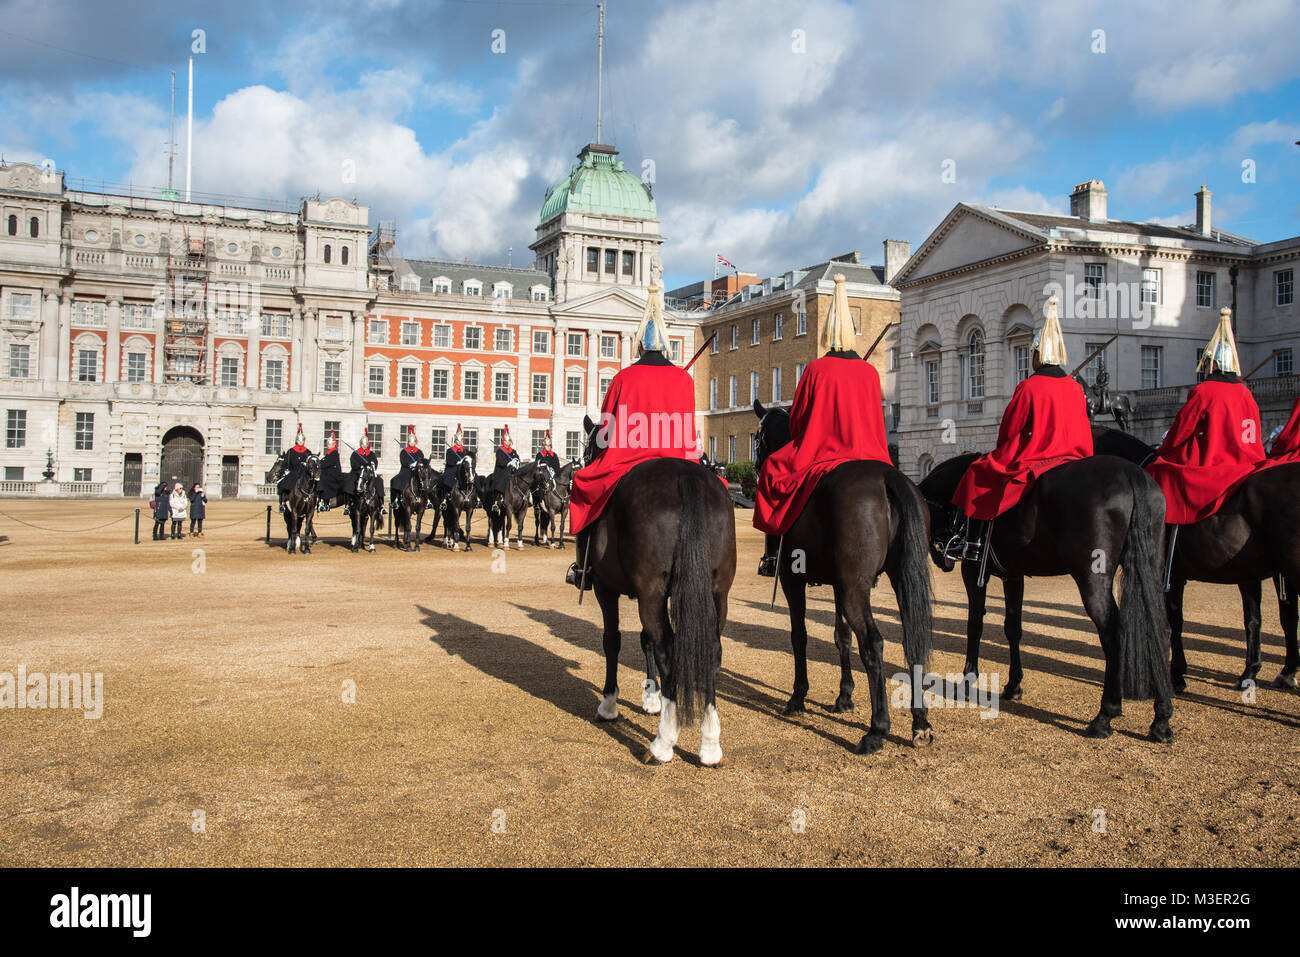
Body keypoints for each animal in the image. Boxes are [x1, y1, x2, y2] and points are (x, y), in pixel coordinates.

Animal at [579, 416, 737, 765]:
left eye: (588, 451)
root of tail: (687, 477)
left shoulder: (606, 588)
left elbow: (613, 641)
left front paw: (610, 704)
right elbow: (645, 641)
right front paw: (652, 696)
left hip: (650, 592)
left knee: (667, 649)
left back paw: (663, 742)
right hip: (718, 592)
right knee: (712, 651)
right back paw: (710, 743)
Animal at [753, 400, 935, 754]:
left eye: (759, 438)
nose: (755, 465)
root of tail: (888, 476)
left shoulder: (793, 582)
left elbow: (799, 636)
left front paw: (798, 697)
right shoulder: (839, 584)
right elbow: (842, 636)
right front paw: (844, 696)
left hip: (854, 591)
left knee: (874, 642)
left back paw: (877, 729)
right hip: (891, 581)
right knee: (911, 640)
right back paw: (920, 722)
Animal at [919, 448, 1174, 741]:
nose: (943, 557)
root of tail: (1132, 474)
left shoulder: (973, 571)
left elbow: (975, 625)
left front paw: (968, 679)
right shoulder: (1013, 575)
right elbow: (1013, 628)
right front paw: (1013, 685)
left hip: (1092, 578)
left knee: (1112, 633)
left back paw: (1105, 715)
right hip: (1150, 570)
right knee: (1160, 628)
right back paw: (1161, 719)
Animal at [1092, 425, 1300, 691]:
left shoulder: (1165, 574)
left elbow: (1169, 623)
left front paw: (1172, 676)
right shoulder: (1236, 573)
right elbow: (1251, 619)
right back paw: (1285, 672)